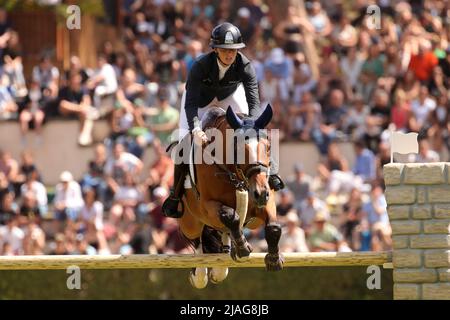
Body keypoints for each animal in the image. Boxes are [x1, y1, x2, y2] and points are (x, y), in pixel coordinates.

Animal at [175, 104, 284, 288]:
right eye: (238, 149)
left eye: (268, 147)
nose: (260, 193)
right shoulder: (208, 206)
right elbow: (230, 216)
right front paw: (243, 247)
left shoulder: (264, 204)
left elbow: (273, 226)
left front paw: (274, 259)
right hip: (190, 223)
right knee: (198, 244)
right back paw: (199, 275)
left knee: (222, 236)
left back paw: (222, 263)